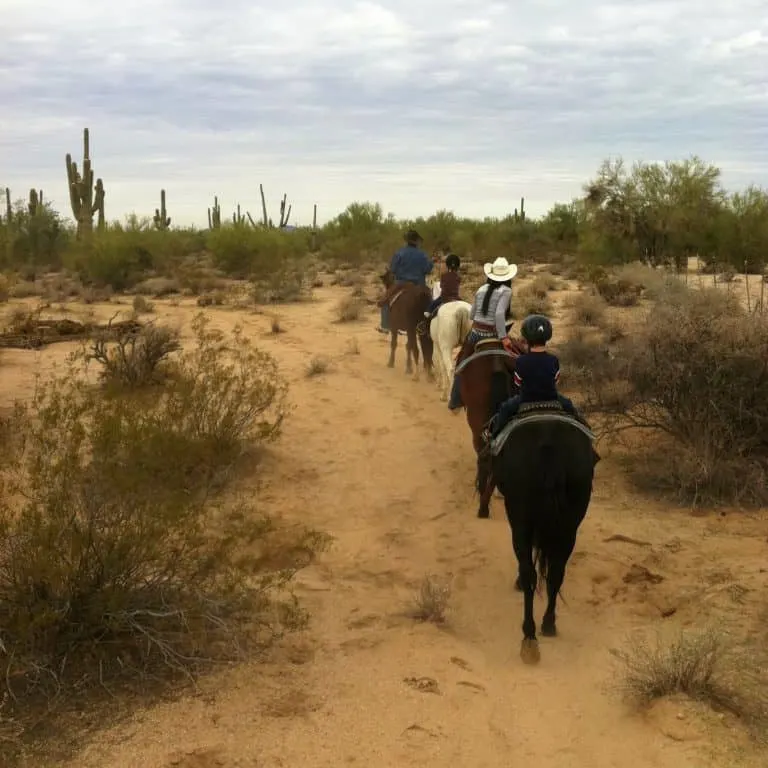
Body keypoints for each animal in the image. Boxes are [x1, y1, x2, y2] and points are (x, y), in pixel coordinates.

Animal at [492, 412, 592, 664]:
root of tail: (549, 447)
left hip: (521, 521)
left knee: (530, 573)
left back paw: (529, 636)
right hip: (569, 526)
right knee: (556, 573)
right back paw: (548, 624)